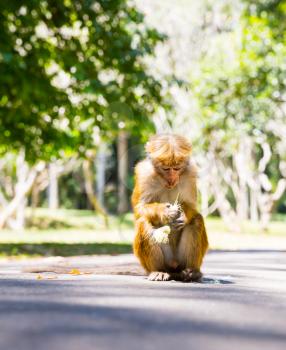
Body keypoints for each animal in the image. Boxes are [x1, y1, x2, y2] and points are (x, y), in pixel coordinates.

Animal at [132, 134, 208, 282]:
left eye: (177, 168)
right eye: (166, 169)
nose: (172, 179)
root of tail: (174, 267)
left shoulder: (191, 173)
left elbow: (192, 206)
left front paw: (183, 215)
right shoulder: (145, 174)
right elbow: (140, 209)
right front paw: (165, 212)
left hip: (180, 260)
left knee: (197, 220)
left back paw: (192, 272)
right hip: (165, 261)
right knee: (143, 222)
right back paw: (158, 271)